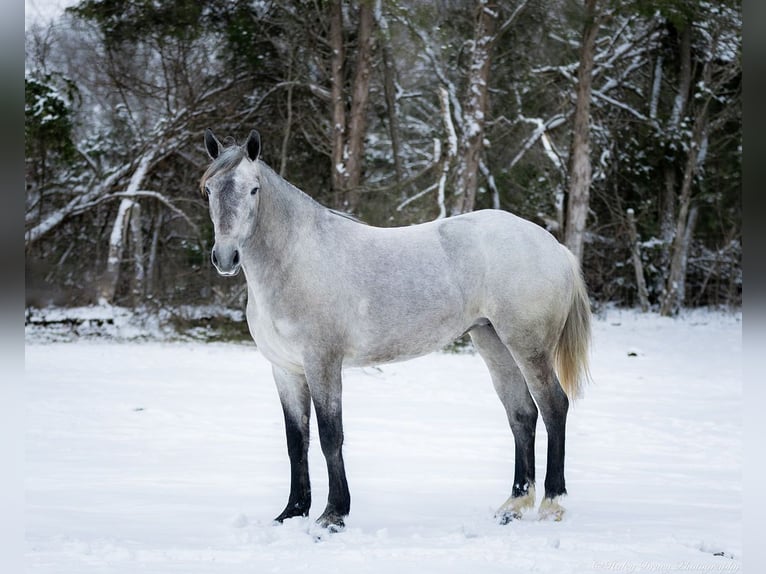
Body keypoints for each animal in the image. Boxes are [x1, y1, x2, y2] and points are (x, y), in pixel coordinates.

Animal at [201, 128, 592, 532]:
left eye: (253, 189)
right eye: (208, 190)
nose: (226, 258)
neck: (296, 260)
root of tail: (554, 246)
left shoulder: (322, 364)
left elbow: (329, 436)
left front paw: (333, 515)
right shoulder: (286, 370)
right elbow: (297, 440)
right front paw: (292, 512)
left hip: (528, 346)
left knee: (553, 407)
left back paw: (552, 503)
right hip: (494, 342)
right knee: (522, 414)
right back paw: (514, 505)